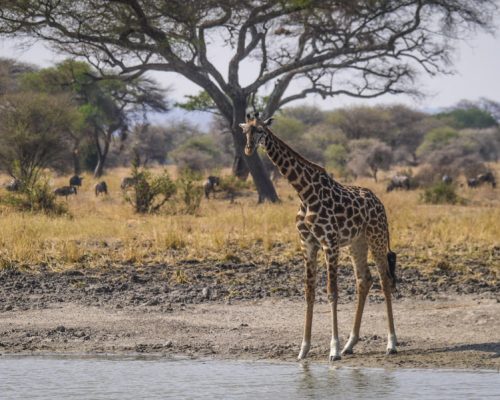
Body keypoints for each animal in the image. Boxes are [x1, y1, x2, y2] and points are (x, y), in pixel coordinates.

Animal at [239, 113, 398, 362]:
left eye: (261, 130)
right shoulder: (308, 244)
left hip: (377, 237)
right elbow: (309, 293)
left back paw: (391, 344)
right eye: (245, 131)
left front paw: (333, 349)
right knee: (364, 280)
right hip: (357, 243)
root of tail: (379, 202)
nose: (248, 149)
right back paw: (350, 344)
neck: (304, 193)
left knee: (384, 280)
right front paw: (303, 349)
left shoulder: (329, 243)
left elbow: (332, 293)